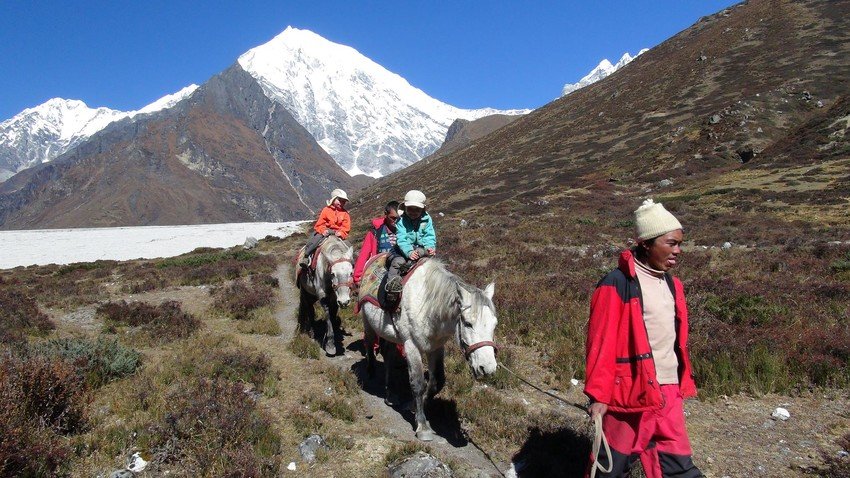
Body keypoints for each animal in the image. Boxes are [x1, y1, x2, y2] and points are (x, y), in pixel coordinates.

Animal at [358, 260, 496, 442]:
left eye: (495, 324)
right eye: (468, 323)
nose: (487, 368)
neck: (429, 306)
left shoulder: (436, 348)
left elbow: (437, 382)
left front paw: (413, 406)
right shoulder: (412, 346)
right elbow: (417, 383)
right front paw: (422, 426)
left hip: (391, 335)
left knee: (389, 356)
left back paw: (391, 394)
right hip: (368, 322)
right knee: (369, 343)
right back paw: (370, 373)